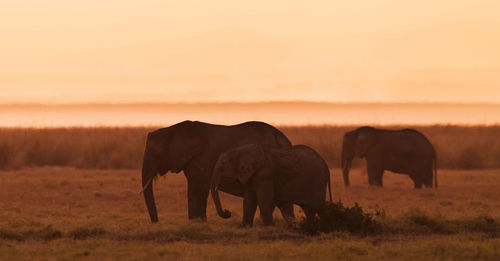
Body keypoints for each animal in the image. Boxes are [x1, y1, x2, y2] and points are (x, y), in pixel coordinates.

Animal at [141, 121, 294, 222]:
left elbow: (196, 189)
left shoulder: (201, 159)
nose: (156, 222)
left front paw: (195, 223)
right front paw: (200, 223)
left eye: (155, 153)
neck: (172, 129)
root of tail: (281, 138)